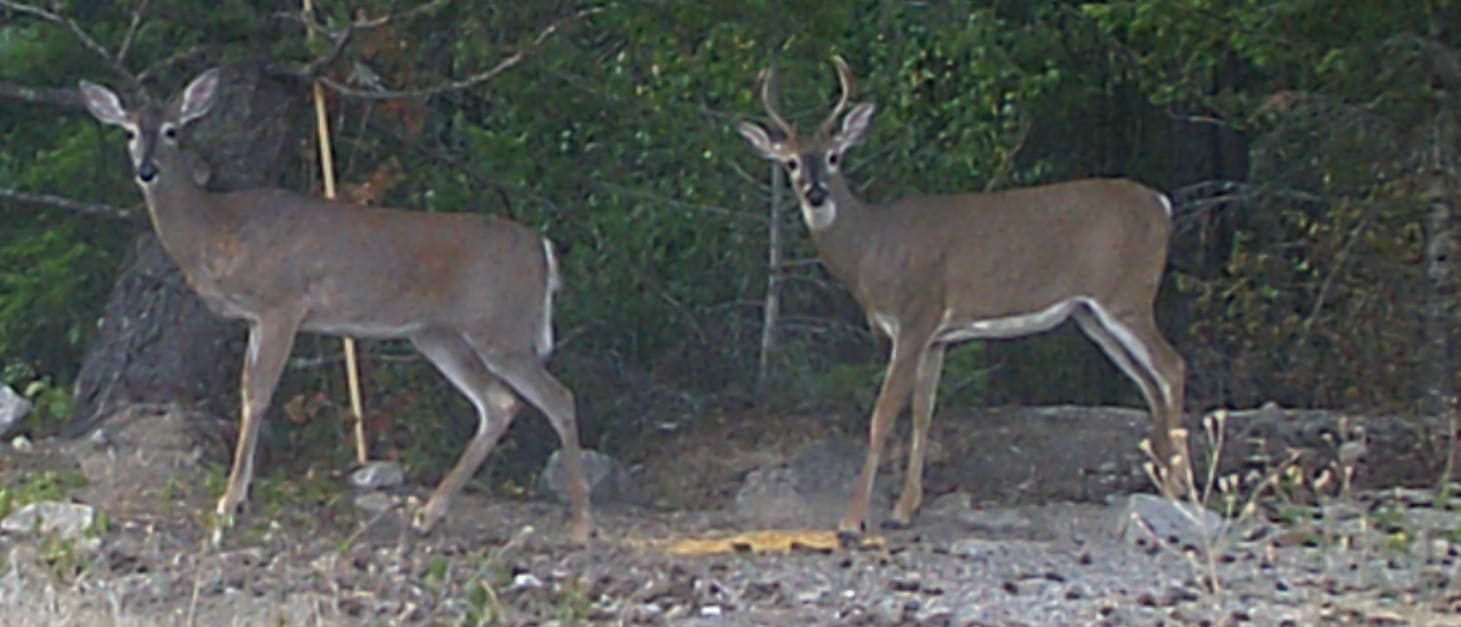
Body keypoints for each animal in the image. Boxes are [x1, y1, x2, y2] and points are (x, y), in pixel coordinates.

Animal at [78, 66, 593, 540]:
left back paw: (580, 524)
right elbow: (249, 392)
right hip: (437, 334)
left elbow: (258, 396)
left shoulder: (283, 303)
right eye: (128, 131)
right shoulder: (257, 318)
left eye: (172, 130)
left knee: (558, 398)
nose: (146, 170)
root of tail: (542, 248)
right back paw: (429, 513)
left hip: (500, 324)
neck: (216, 229)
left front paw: (228, 503)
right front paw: (238, 496)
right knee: (498, 403)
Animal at [736, 56, 1192, 540]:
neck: (870, 249)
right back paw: (1163, 482)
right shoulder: (937, 337)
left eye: (834, 156)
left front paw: (852, 519)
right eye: (790, 163)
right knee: (1149, 382)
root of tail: (1161, 204)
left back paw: (1178, 489)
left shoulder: (916, 316)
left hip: (1127, 293)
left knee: (1172, 367)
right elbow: (923, 414)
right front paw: (904, 509)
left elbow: (882, 415)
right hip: (1091, 314)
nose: (816, 193)